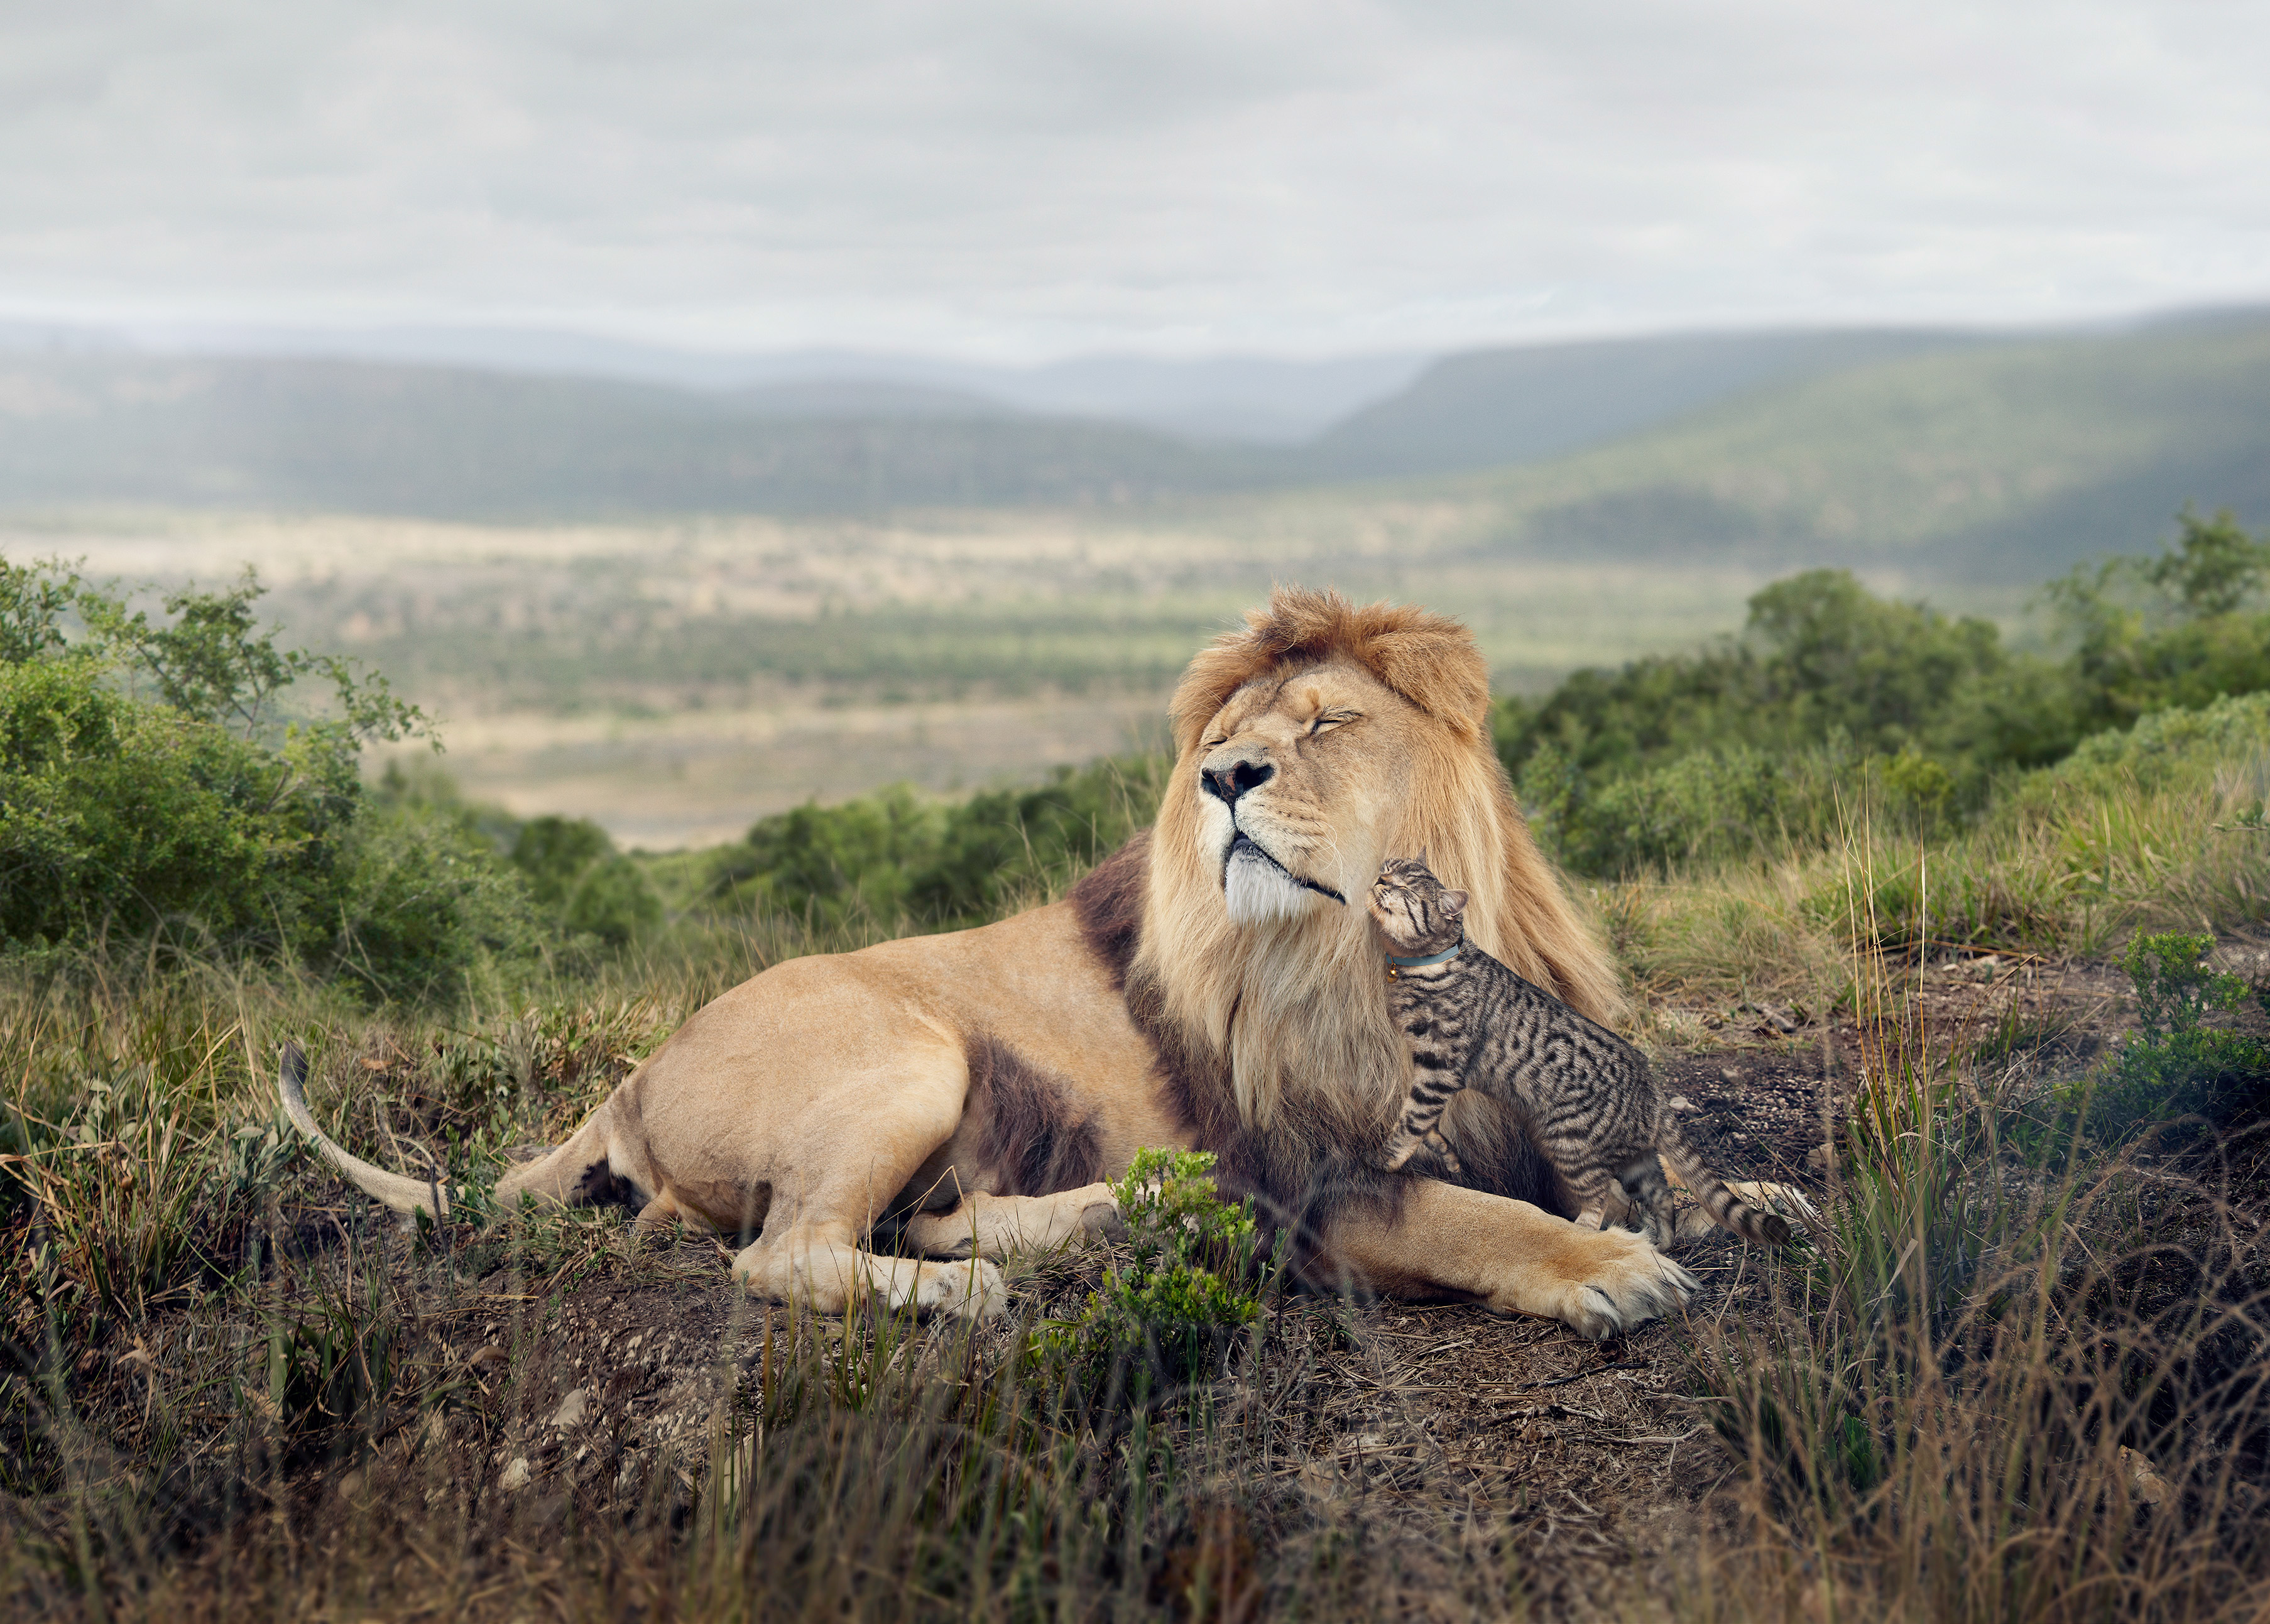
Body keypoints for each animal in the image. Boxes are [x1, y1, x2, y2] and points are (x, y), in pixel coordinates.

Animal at [275, 591, 1706, 1344]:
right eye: (1227, 741)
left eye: (1331, 722)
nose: (1224, 779)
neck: (1355, 951)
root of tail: (630, 1077)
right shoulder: (1311, 1184)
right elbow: (1471, 1215)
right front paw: (1605, 1266)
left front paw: (1713, 1204)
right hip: (912, 1053)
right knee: (787, 1253)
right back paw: (966, 1286)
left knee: (902, 1214)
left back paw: (1106, 1214)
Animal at [1361, 858, 1789, 1253]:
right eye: (1388, 867)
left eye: (1405, 888)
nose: (1379, 878)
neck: (1429, 963)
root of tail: (1651, 1088)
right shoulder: (1427, 1069)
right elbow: (1424, 1123)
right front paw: (1443, 1153)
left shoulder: (1441, 1068)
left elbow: (1411, 1122)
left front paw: (1384, 1160)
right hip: (1637, 1163)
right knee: (1663, 1195)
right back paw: (1661, 1243)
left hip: (1569, 1144)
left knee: (1598, 1197)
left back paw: (1583, 1231)